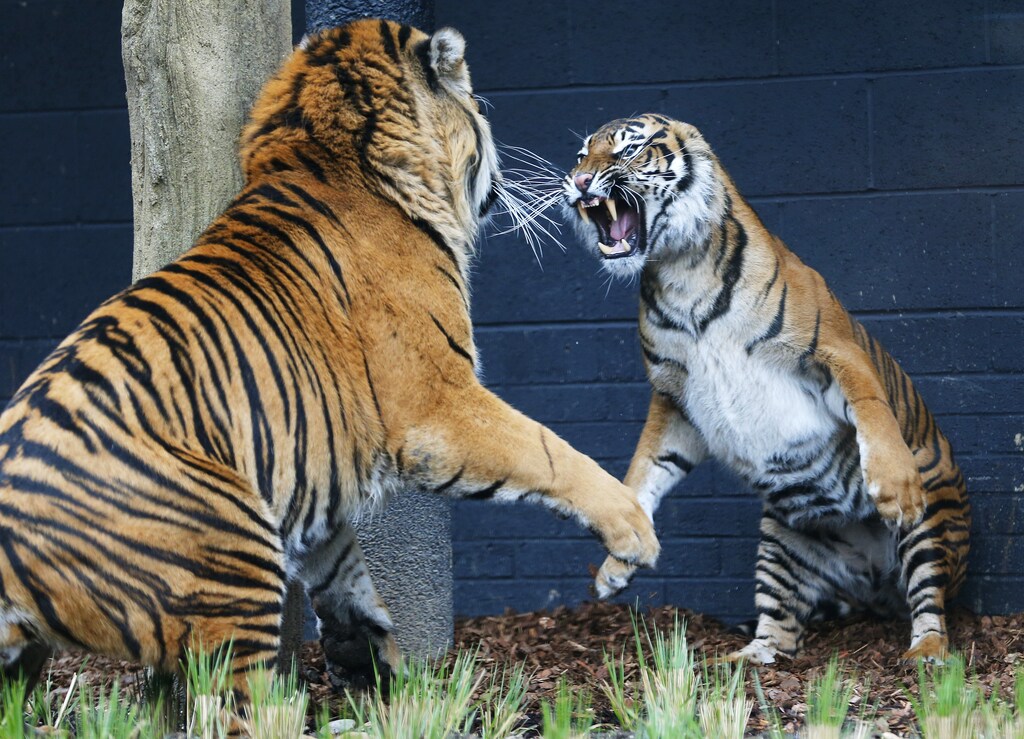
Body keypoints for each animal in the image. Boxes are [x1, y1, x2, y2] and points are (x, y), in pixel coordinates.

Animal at [0, 19, 660, 706]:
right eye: (477, 102)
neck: (330, 159)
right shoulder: (439, 408)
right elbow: (549, 451)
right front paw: (633, 533)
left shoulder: (317, 466)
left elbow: (348, 575)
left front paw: (372, 661)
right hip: (231, 559)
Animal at [562, 113, 969, 664]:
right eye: (581, 155)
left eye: (629, 149)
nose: (580, 182)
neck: (679, 272)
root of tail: (875, 587)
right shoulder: (675, 398)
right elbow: (645, 468)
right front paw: (618, 559)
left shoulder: (832, 351)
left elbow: (871, 405)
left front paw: (894, 486)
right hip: (782, 538)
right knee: (781, 627)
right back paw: (743, 660)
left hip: (933, 524)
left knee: (928, 599)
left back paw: (925, 652)